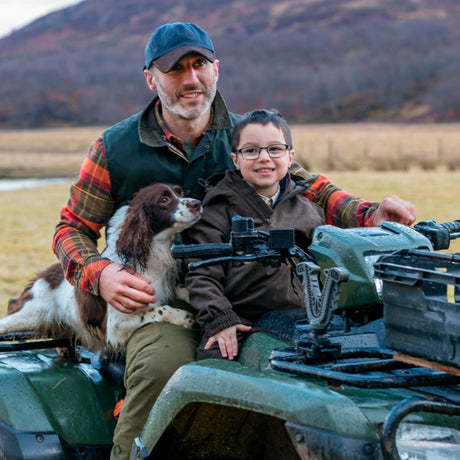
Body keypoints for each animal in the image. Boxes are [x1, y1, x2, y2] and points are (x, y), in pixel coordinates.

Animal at [0, 182, 201, 352]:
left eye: (181, 192)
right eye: (164, 200)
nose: (197, 203)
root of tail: (41, 276)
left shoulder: (164, 286)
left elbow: (180, 289)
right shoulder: (115, 325)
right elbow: (159, 309)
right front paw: (184, 317)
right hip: (29, 314)